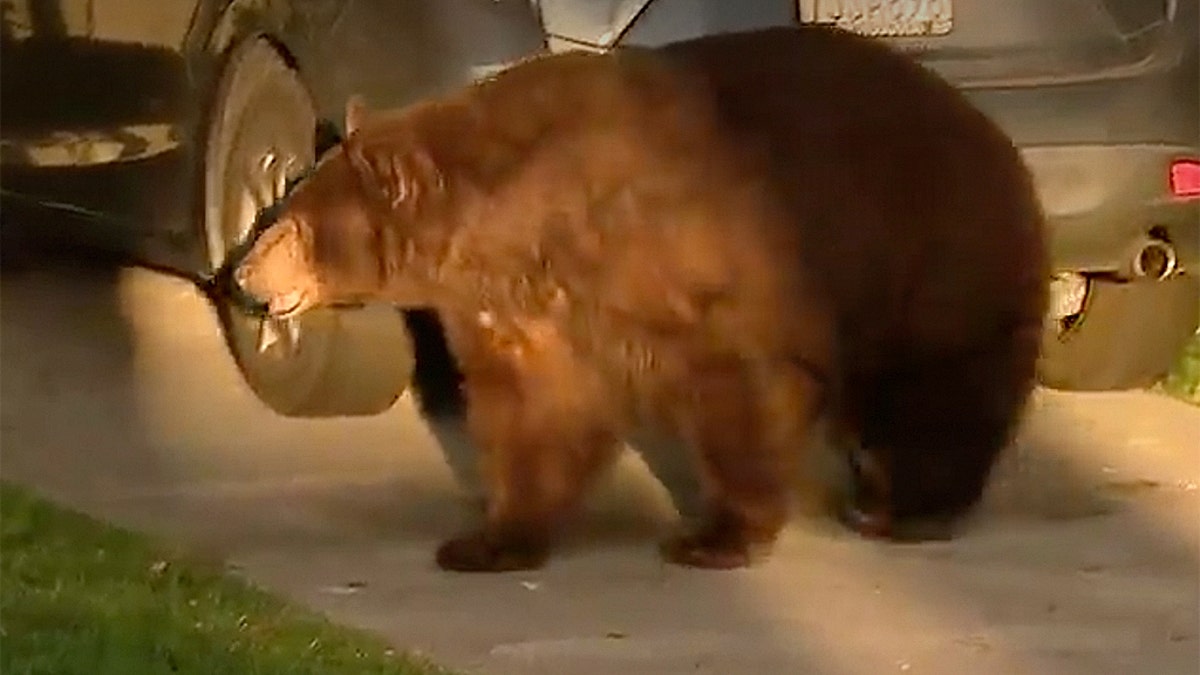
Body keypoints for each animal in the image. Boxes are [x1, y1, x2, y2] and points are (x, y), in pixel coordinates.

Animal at [229, 26, 1046, 569]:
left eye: (287, 221)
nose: (238, 276)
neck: (519, 227)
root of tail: (1001, 138)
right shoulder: (535, 312)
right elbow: (537, 412)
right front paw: (490, 538)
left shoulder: (688, 263)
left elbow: (736, 390)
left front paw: (714, 535)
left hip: (926, 258)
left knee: (932, 389)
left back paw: (904, 506)